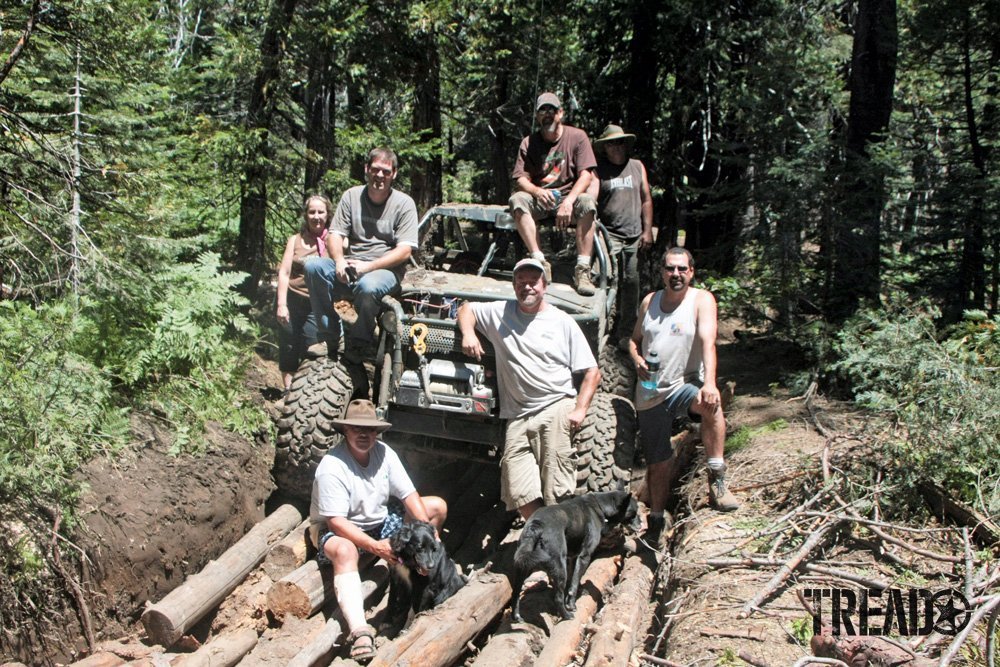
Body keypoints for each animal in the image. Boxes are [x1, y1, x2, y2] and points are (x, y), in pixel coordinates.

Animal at [508, 490, 640, 620]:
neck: (600, 505)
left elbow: (574, 577)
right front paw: (571, 604)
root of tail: (536, 525)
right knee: (558, 597)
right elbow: (575, 582)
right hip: (560, 569)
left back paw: (516, 617)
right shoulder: (584, 556)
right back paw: (566, 615)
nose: (641, 523)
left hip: (521, 569)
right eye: (634, 513)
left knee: (515, 594)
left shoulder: (572, 558)